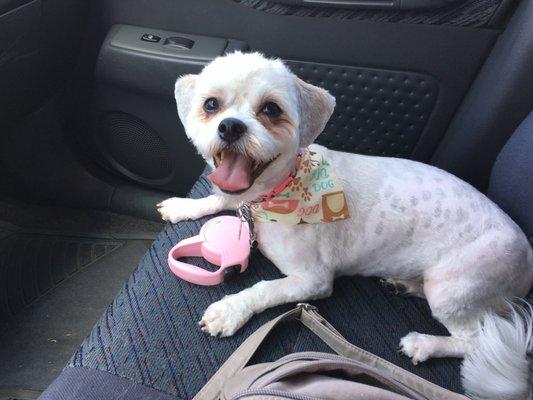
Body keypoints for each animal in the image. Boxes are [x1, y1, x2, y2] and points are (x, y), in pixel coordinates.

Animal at [157, 53, 532, 400]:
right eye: (211, 104)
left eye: (271, 109)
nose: (230, 126)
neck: (275, 195)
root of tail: (528, 256)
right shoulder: (242, 200)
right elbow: (220, 198)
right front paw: (184, 205)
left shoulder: (313, 280)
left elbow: (264, 288)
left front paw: (230, 310)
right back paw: (405, 284)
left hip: (454, 286)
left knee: (472, 339)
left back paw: (425, 344)